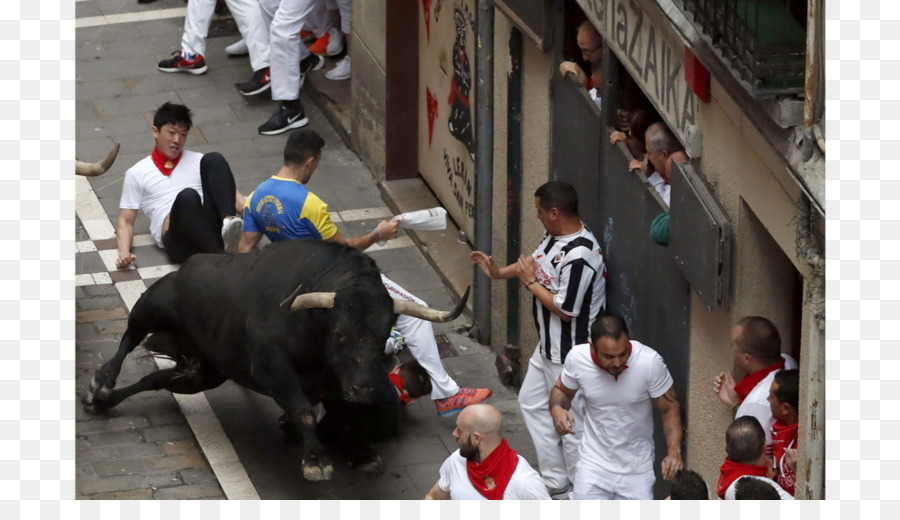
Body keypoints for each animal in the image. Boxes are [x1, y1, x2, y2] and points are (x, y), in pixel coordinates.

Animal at [82, 239, 472, 480]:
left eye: (383, 334)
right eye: (340, 333)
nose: (364, 390)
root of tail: (190, 262)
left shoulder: (337, 385)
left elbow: (341, 417)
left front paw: (360, 454)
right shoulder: (273, 369)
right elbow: (303, 411)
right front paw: (315, 461)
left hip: (203, 373)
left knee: (156, 380)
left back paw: (103, 400)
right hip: (155, 302)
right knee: (130, 335)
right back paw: (101, 382)